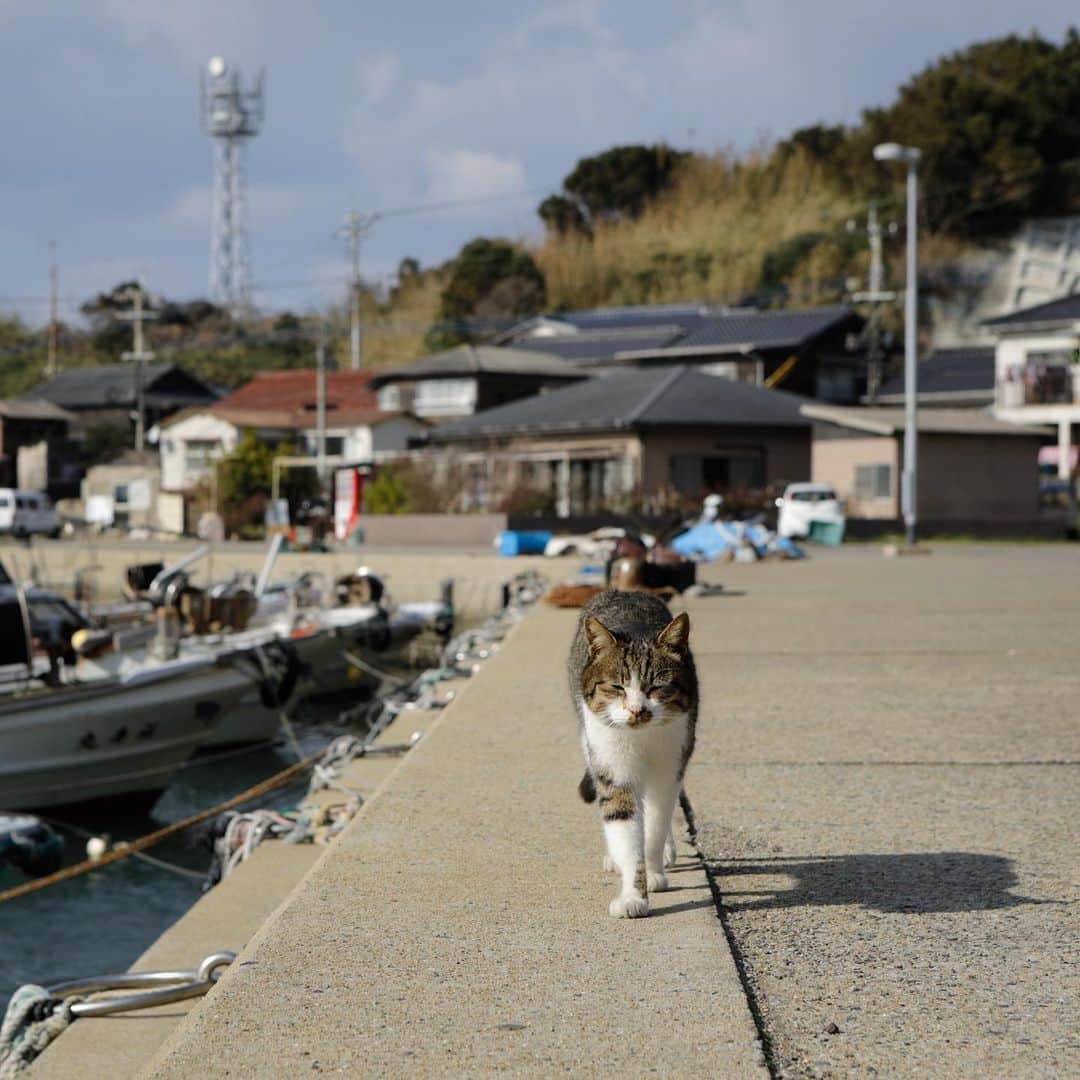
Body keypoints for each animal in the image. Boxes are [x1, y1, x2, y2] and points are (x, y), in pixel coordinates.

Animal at [565, 591, 699, 920]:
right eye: (617, 686)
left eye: (657, 687)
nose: (638, 710)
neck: (641, 737)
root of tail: (626, 591)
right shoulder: (613, 765)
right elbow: (624, 825)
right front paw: (632, 894)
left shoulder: (671, 763)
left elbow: (657, 822)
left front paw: (652, 871)